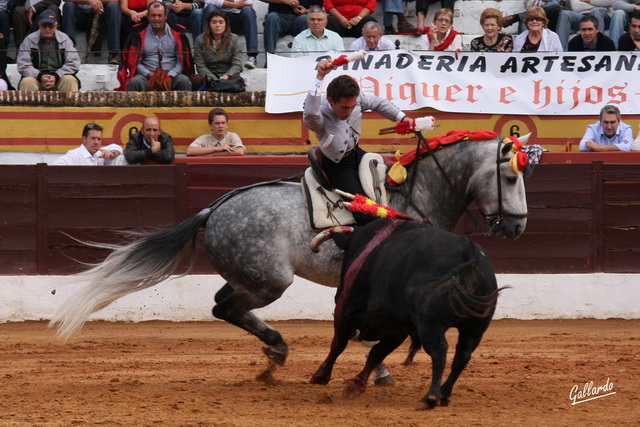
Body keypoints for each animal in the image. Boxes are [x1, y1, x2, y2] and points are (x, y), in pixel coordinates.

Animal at [50, 135, 528, 380]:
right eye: (509, 177)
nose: (518, 226)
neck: (414, 193)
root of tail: (213, 209)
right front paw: (377, 371)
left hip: (248, 275)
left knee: (222, 305)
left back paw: (272, 352)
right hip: (271, 281)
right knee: (225, 308)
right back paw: (277, 348)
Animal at [310, 219, 504, 410]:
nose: (337, 294)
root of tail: (470, 253)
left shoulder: (345, 312)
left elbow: (339, 344)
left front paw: (320, 376)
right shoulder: (396, 328)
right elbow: (376, 353)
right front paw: (357, 385)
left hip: (430, 324)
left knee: (439, 351)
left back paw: (429, 398)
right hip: (474, 328)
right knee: (462, 355)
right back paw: (444, 394)